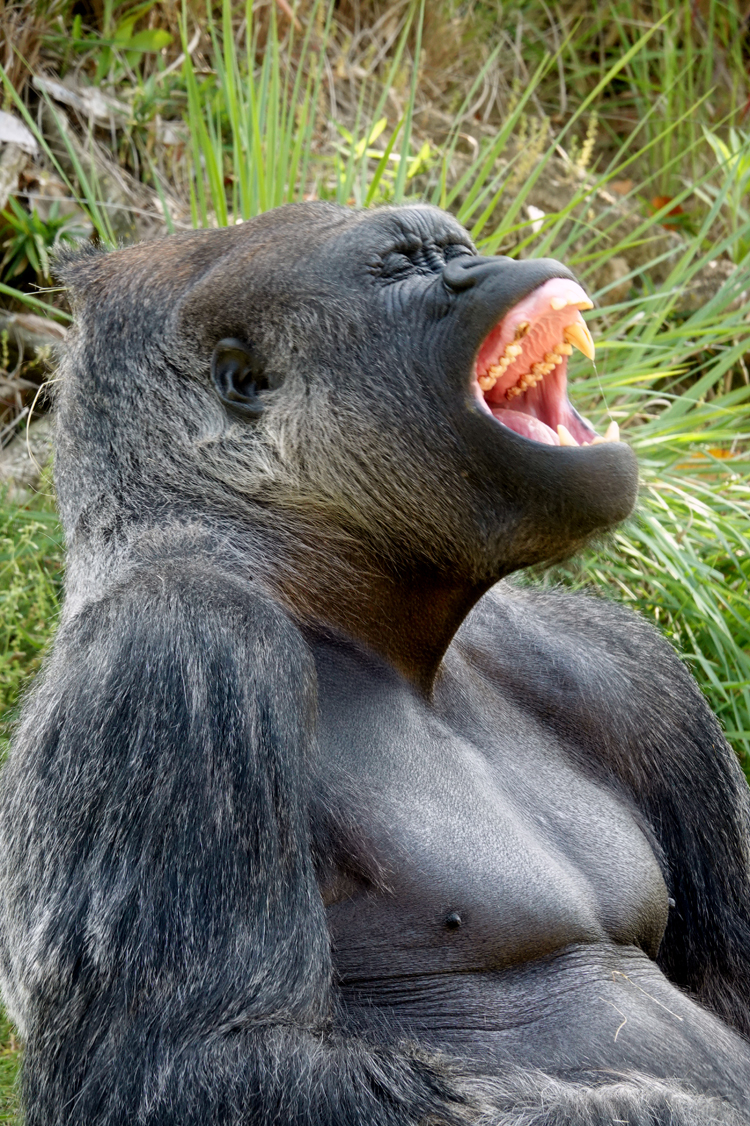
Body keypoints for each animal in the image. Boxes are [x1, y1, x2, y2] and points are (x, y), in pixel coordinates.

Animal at [0, 200, 749, 1125]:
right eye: (402, 266)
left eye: (454, 250)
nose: (486, 266)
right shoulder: (176, 649)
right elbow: (182, 1066)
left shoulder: (623, 664)